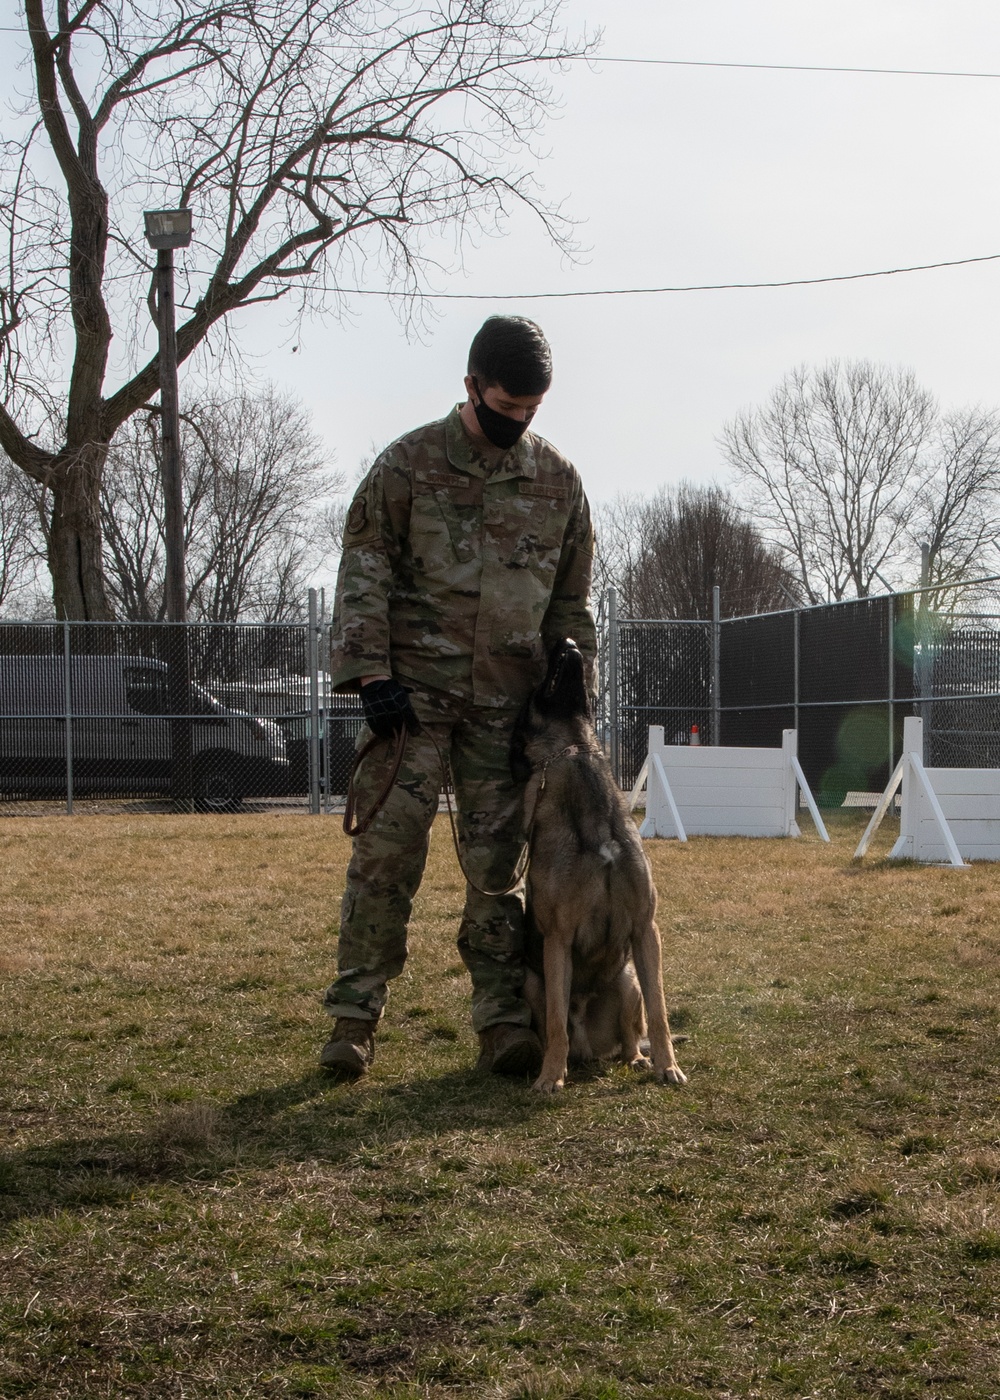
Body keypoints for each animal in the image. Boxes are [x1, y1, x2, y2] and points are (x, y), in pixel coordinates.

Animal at [509, 638, 680, 1092]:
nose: (567, 642)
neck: (574, 749)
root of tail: (591, 1048)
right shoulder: (558, 940)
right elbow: (555, 1024)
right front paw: (550, 1078)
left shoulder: (645, 928)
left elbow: (660, 1013)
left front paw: (668, 1066)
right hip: (532, 982)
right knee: (556, 1028)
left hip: (628, 980)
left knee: (631, 1037)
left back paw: (638, 1058)